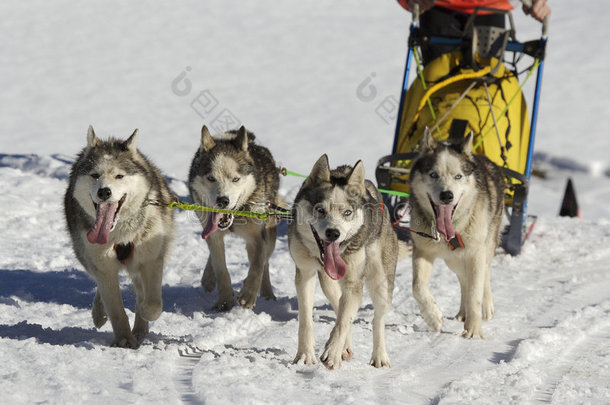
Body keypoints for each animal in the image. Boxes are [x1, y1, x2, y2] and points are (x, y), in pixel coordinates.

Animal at [64, 126, 173, 348]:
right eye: (95, 175)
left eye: (119, 176)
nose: (104, 192)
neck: (120, 234)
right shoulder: (104, 266)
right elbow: (116, 309)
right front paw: (124, 340)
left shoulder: (151, 260)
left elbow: (152, 303)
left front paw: (145, 313)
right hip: (86, 257)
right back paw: (100, 313)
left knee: (141, 291)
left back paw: (140, 328)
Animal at [186, 124, 280, 310]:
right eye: (211, 178)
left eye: (236, 179)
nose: (222, 200)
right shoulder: (214, 235)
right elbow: (221, 268)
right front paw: (224, 302)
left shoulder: (257, 237)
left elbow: (258, 264)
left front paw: (249, 294)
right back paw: (208, 278)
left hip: (270, 234)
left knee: (265, 263)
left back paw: (268, 295)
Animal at [288, 155, 396, 370]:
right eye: (320, 210)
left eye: (347, 213)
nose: (333, 233)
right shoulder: (305, 275)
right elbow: (306, 319)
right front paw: (305, 355)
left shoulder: (354, 282)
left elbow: (344, 320)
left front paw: (332, 352)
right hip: (328, 282)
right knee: (338, 302)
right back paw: (345, 347)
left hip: (381, 282)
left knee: (377, 319)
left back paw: (379, 356)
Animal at [408, 129, 504, 338]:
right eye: (433, 174)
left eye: (458, 176)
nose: (447, 195)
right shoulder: (423, 251)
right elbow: (417, 287)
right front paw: (433, 317)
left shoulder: (475, 252)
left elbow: (476, 293)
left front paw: (474, 330)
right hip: (453, 260)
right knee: (464, 280)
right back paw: (462, 312)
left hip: (485, 246)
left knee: (484, 274)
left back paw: (486, 307)